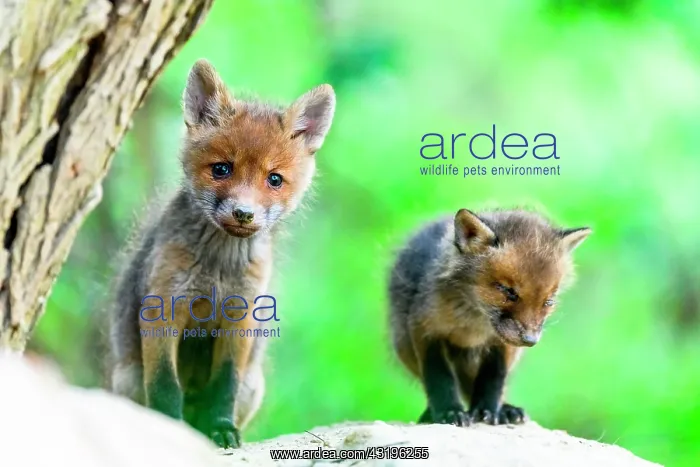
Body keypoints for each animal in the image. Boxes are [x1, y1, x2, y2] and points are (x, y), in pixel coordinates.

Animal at [108, 59, 335, 448]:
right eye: (221, 169)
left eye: (274, 179)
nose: (244, 214)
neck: (218, 268)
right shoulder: (163, 307)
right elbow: (165, 384)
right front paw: (169, 427)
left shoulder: (240, 316)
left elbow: (224, 383)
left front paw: (220, 427)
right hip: (126, 381)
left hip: (253, 386)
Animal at [388, 208, 590, 426]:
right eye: (509, 292)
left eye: (548, 301)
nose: (530, 340)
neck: (474, 325)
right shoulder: (425, 330)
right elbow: (439, 379)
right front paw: (449, 412)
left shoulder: (502, 345)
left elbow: (494, 379)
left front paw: (487, 411)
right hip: (403, 345)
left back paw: (506, 409)